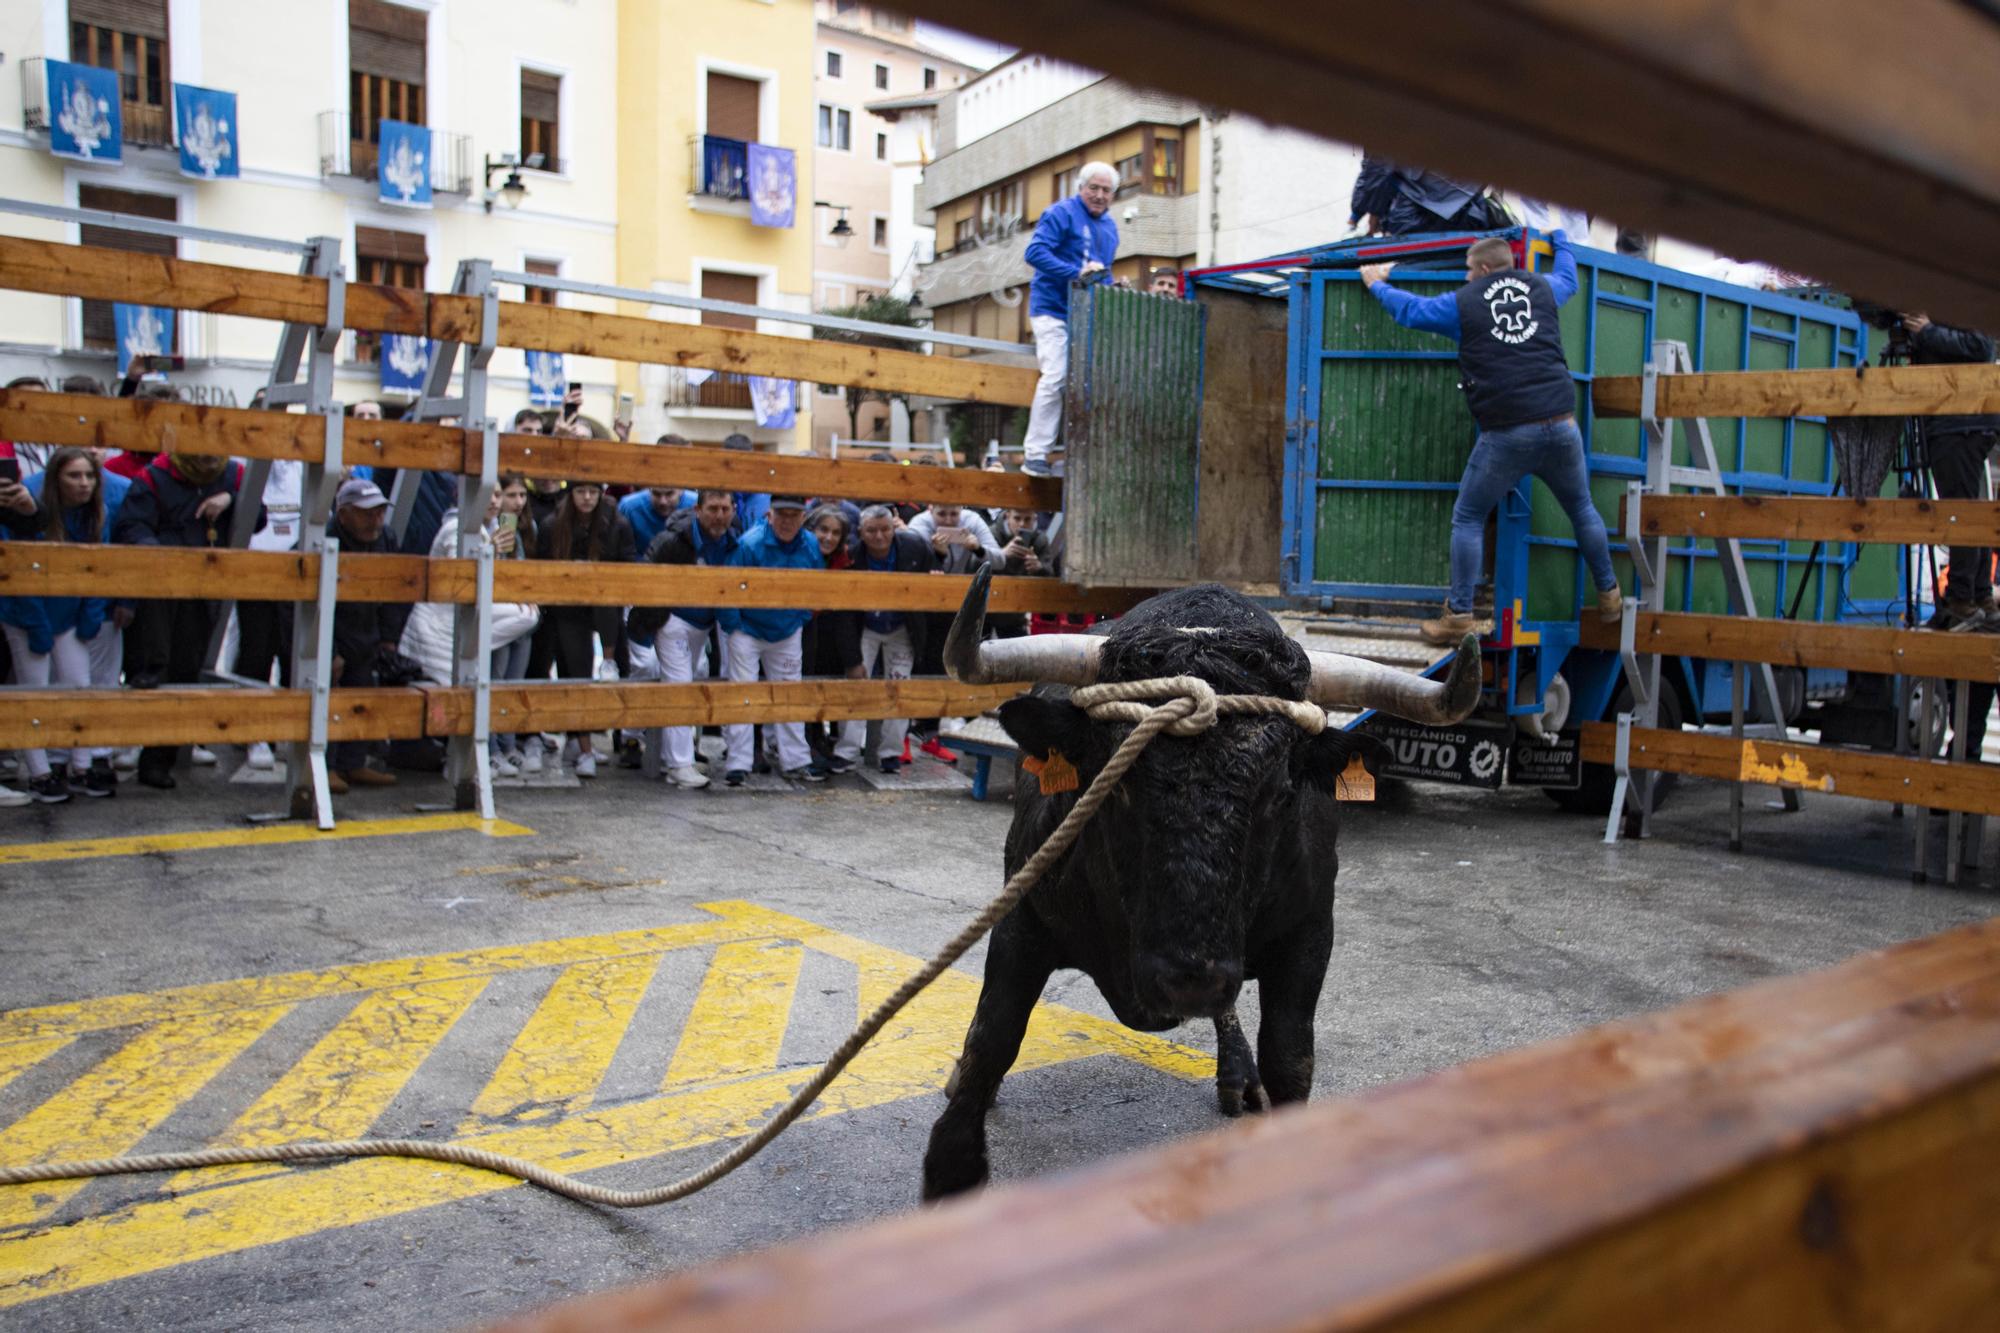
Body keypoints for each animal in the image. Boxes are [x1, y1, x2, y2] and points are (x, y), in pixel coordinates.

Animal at [924, 572, 1488, 1192]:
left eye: (1281, 793)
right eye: (1115, 785)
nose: (1188, 980)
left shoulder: (1311, 932)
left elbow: (1290, 1054)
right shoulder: (1021, 922)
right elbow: (992, 1037)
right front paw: (953, 1160)